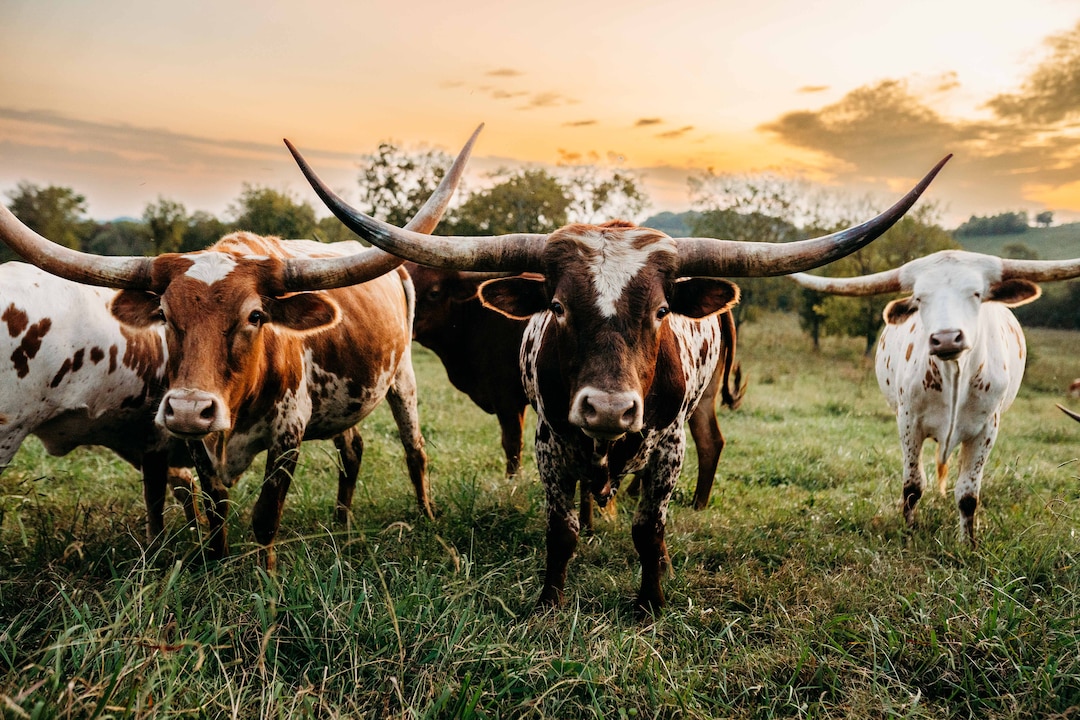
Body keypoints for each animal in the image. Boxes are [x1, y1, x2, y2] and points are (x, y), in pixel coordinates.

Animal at [407, 262, 744, 512]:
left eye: (434, 292)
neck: (474, 317)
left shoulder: (507, 399)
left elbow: (511, 445)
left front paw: (511, 483)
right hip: (701, 396)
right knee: (710, 440)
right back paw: (690, 502)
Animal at [790, 249, 1080, 545]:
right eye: (919, 298)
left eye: (976, 293)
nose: (947, 338)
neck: (955, 375)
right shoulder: (908, 423)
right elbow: (913, 486)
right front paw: (909, 533)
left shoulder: (987, 429)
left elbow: (967, 495)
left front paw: (967, 544)